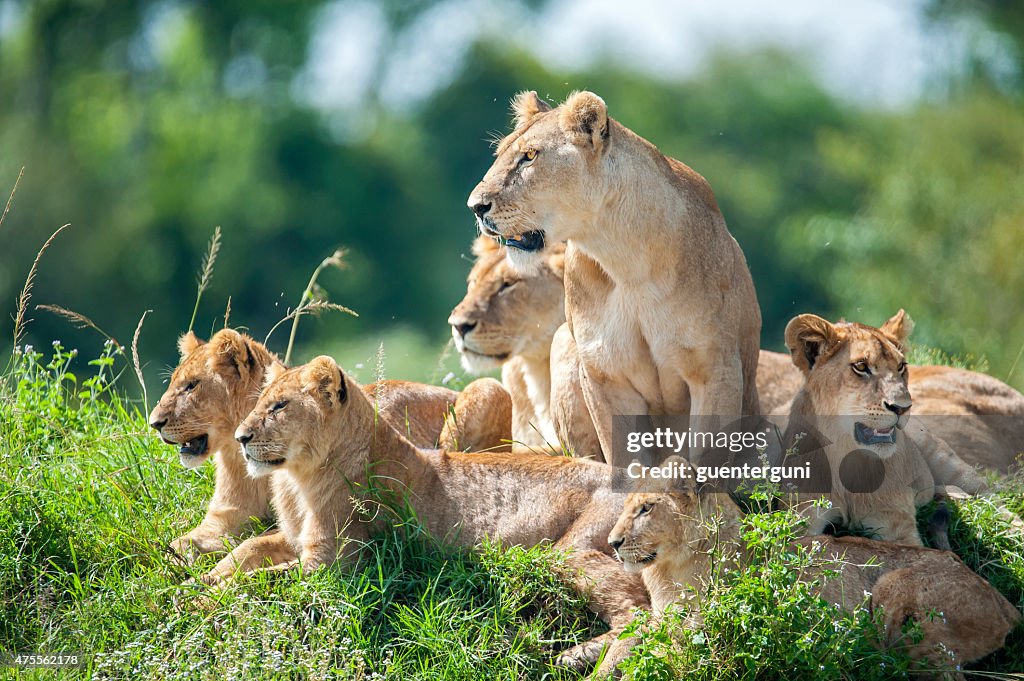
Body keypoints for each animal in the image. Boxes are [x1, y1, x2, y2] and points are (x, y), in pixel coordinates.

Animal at [198, 356, 643, 675]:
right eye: (259, 403)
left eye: (279, 406)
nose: (240, 437)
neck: (297, 481)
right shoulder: (292, 539)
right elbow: (246, 551)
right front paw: (199, 580)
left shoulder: (333, 567)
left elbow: (262, 582)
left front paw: (204, 599)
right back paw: (573, 657)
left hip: (569, 550)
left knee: (641, 611)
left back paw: (596, 668)